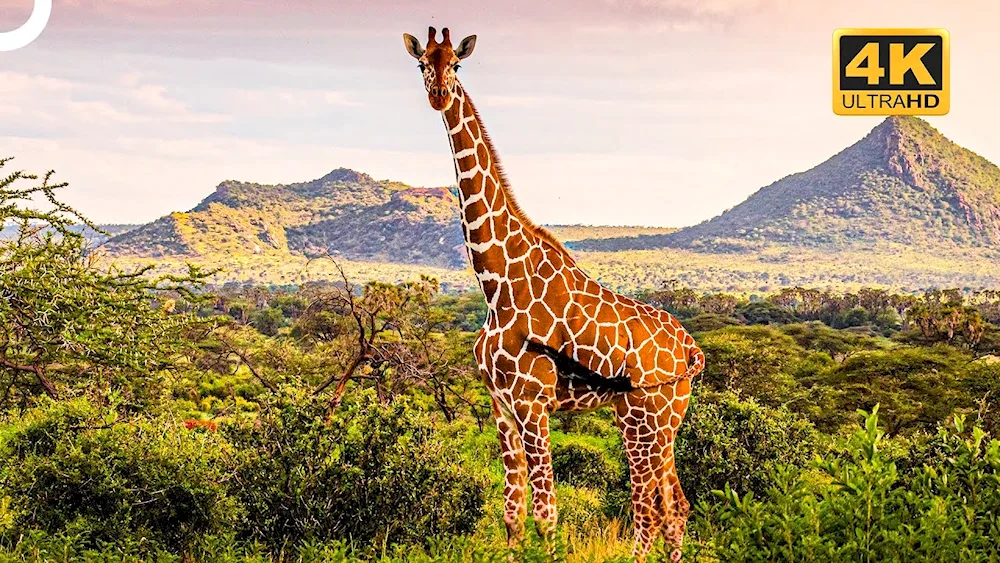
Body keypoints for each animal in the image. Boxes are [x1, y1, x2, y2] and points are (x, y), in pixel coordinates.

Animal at [402, 26, 708, 560]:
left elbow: (547, 516)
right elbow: (513, 515)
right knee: (674, 508)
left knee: (652, 509)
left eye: (456, 64)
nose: (438, 93)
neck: (496, 282)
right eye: (423, 62)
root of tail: (691, 348)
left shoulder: (532, 402)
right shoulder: (500, 405)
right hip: (660, 419)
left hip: (646, 416)